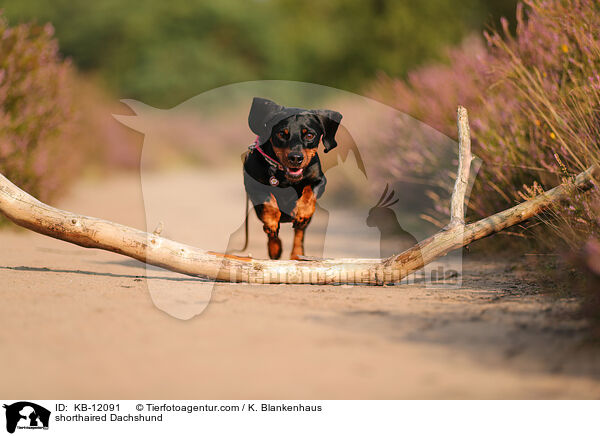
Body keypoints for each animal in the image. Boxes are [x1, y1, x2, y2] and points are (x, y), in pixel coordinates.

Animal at [240, 97, 342, 260]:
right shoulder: (252, 184)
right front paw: (272, 222)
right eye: (282, 134)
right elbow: (269, 201)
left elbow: (309, 192)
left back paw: (297, 254)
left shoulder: (320, 180)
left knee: (300, 233)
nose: (295, 158)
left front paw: (302, 211)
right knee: (272, 234)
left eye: (309, 135)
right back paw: (274, 248)